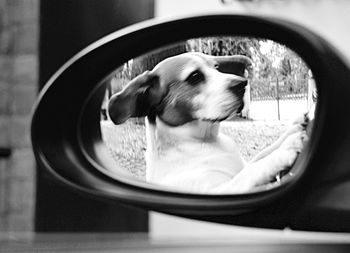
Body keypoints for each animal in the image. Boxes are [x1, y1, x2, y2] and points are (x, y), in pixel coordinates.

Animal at [108, 52, 308, 194]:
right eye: (194, 76)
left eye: (217, 67)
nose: (243, 83)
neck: (204, 141)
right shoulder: (218, 189)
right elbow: (251, 172)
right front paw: (286, 150)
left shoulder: (240, 165)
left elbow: (262, 154)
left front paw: (295, 127)